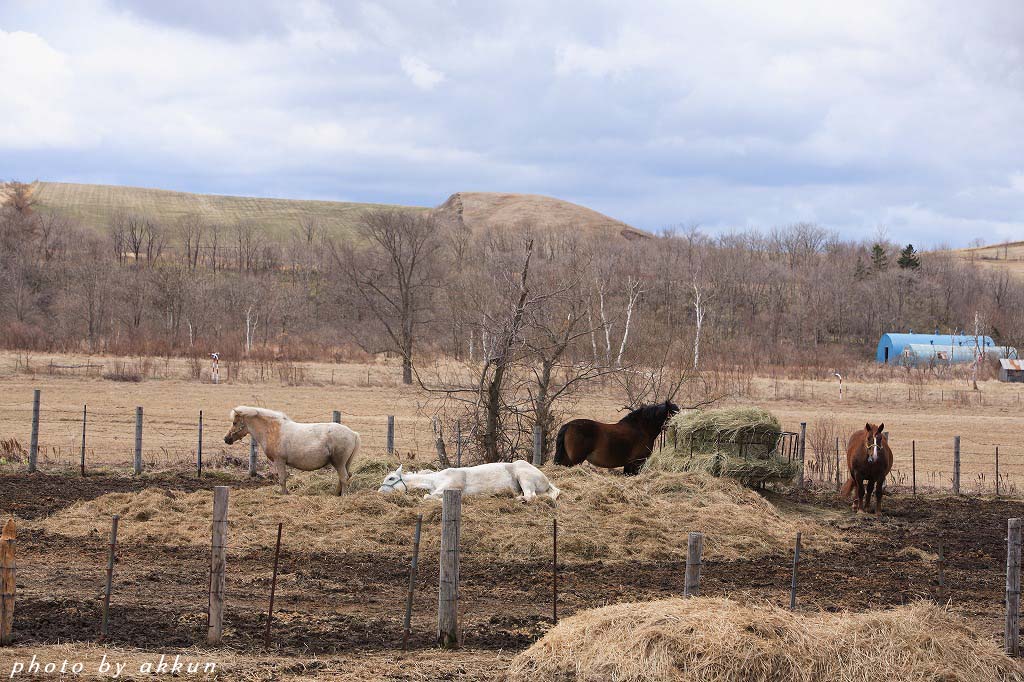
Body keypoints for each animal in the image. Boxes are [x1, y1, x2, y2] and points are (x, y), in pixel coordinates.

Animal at [223, 403, 360, 493]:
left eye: (234, 423)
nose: (226, 439)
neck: (273, 430)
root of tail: (353, 434)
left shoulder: (279, 461)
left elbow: (282, 479)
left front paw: (284, 493)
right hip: (344, 464)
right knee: (344, 477)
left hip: (339, 463)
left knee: (344, 478)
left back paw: (343, 495)